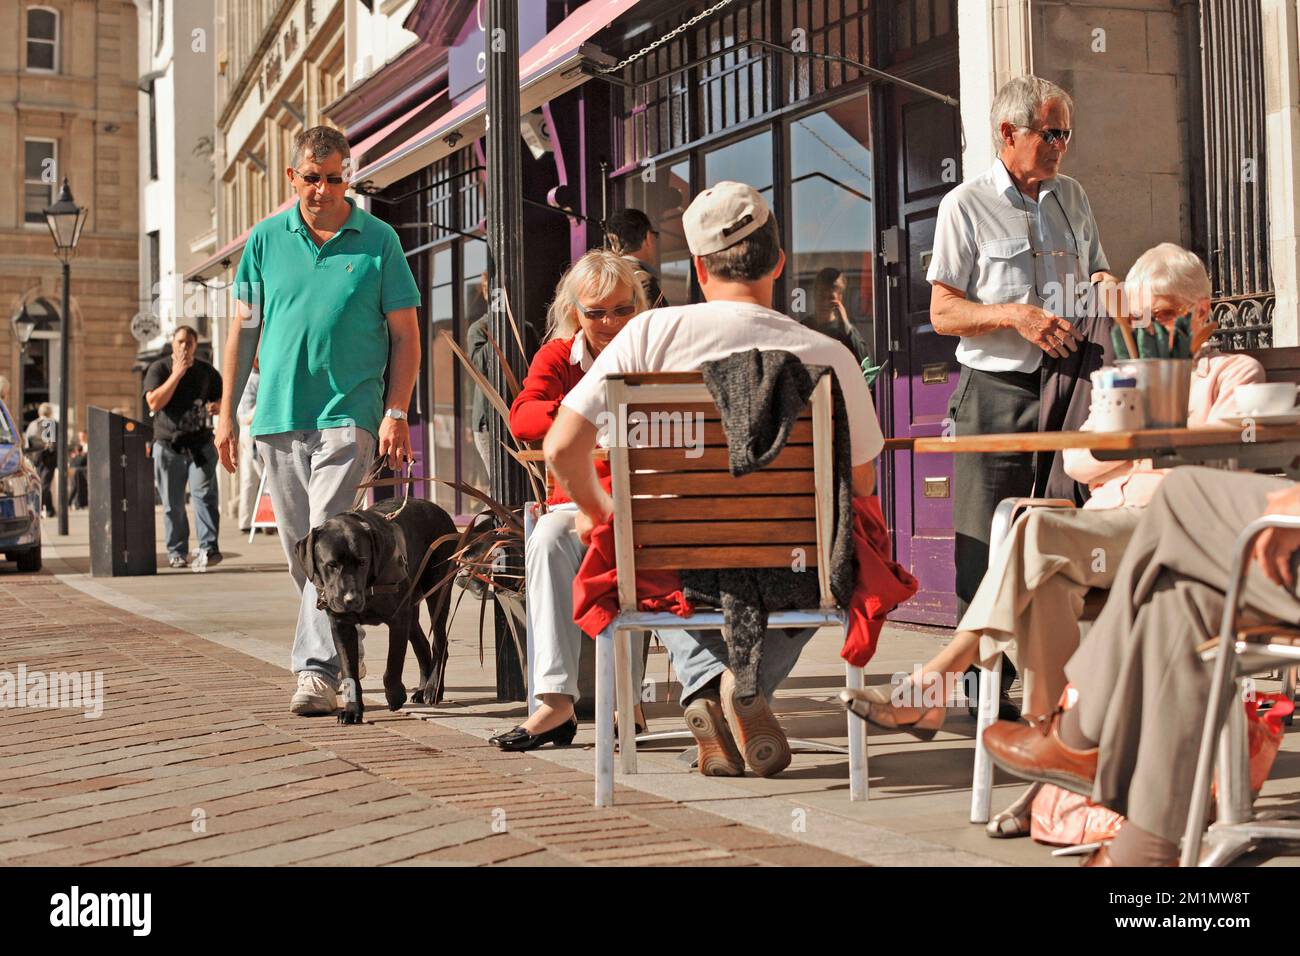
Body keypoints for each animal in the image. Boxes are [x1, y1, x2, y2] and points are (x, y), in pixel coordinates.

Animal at [297, 502, 460, 723]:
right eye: (331, 565)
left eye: (363, 562)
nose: (351, 600)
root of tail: (440, 510)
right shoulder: (341, 625)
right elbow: (349, 672)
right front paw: (352, 710)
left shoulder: (398, 619)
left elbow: (393, 665)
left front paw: (395, 696)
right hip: (411, 608)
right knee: (423, 644)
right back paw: (422, 688)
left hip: (437, 590)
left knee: (440, 643)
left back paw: (433, 689)